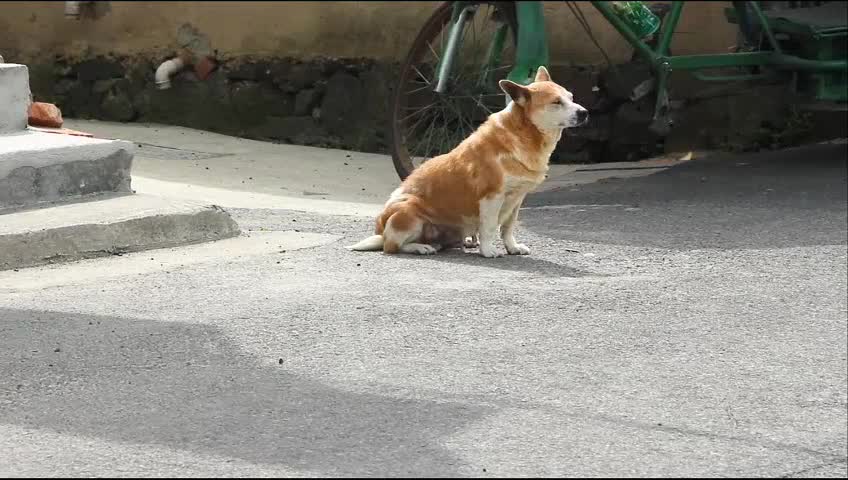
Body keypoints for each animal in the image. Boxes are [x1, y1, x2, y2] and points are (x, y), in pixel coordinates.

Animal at [348, 66, 588, 258]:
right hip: (408, 213)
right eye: (556, 102)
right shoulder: (492, 197)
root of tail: (380, 231)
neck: (524, 135)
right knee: (392, 246)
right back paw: (420, 247)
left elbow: (508, 228)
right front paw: (488, 251)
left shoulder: (517, 199)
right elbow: (489, 228)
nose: (584, 113)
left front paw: (512, 248)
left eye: (571, 97)